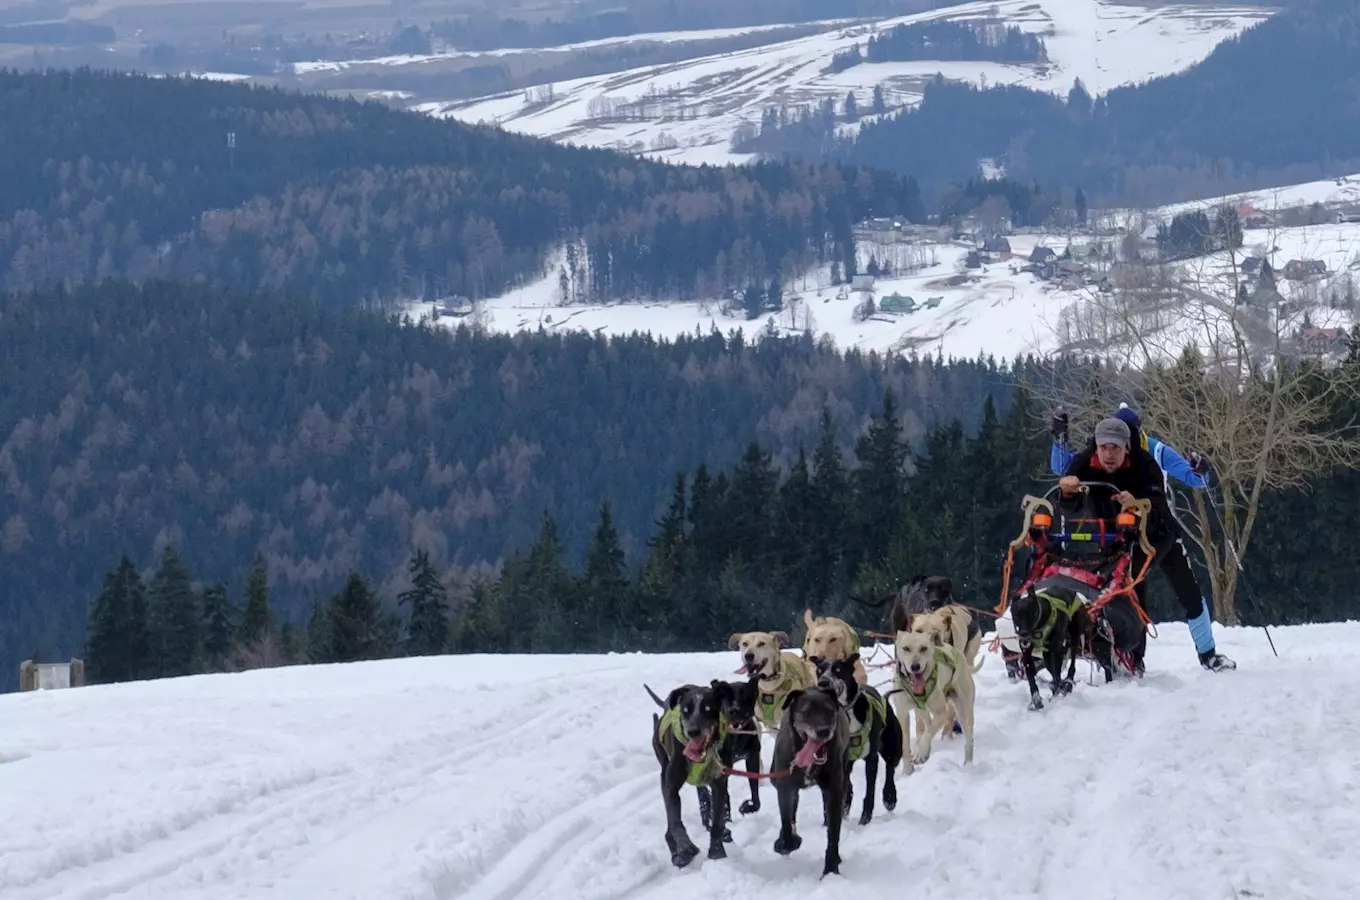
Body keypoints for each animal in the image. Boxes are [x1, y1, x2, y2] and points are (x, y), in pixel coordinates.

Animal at [647, 685, 734, 870]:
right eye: (685, 710)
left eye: (708, 709)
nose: (693, 731)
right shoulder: (671, 788)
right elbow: (675, 823)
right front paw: (685, 846)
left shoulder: (719, 785)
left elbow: (717, 821)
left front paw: (717, 852)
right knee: (669, 827)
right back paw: (677, 854)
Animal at [772, 687, 843, 875]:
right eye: (806, 712)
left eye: (830, 711)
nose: (823, 731)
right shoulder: (785, 789)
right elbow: (786, 821)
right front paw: (787, 843)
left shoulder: (834, 792)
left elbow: (833, 834)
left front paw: (830, 869)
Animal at [810, 655, 897, 826]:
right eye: (819, 671)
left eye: (838, 670)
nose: (822, 682)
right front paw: (828, 823)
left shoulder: (871, 758)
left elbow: (870, 791)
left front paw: (865, 818)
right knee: (847, 786)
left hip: (892, 747)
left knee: (890, 768)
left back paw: (890, 797)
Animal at [892, 628, 979, 777]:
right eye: (906, 648)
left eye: (923, 648)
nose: (915, 666)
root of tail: (957, 652)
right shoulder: (902, 713)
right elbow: (905, 744)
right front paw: (907, 770)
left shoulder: (941, 713)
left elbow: (929, 733)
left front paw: (920, 751)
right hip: (922, 710)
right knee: (928, 722)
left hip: (964, 713)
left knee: (968, 739)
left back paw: (968, 764)